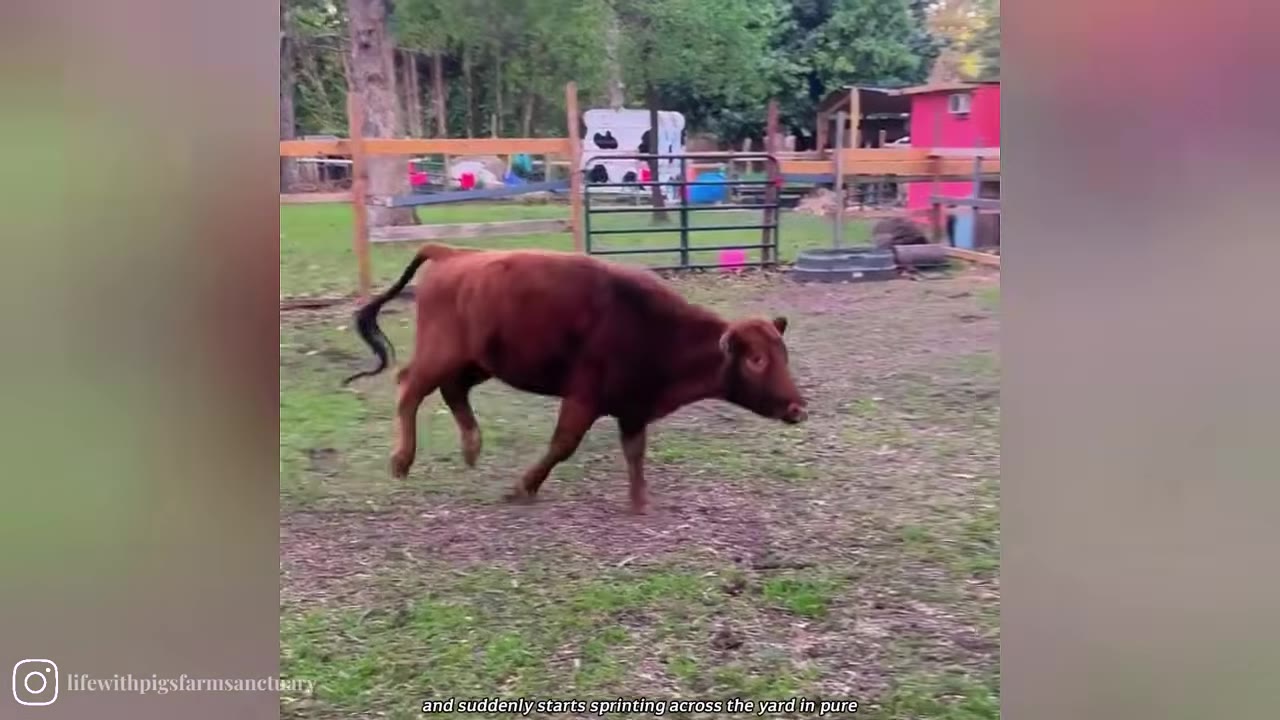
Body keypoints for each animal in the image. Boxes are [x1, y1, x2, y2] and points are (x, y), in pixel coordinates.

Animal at [343, 243, 808, 514]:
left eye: (783, 355)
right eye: (756, 360)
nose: (798, 408)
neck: (658, 328)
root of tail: (452, 253)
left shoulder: (632, 407)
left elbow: (634, 453)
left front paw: (640, 501)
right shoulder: (584, 397)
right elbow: (562, 445)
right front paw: (522, 487)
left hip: (478, 363)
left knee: (452, 390)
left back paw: (472, 449)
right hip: (441, 355)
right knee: (410, 387)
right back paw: (402, 460)